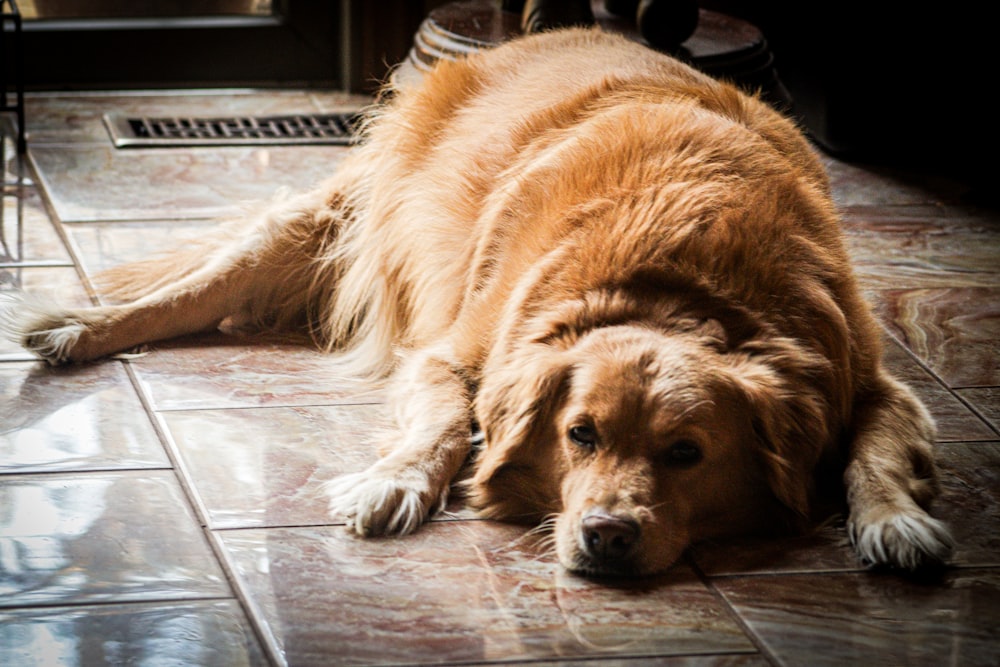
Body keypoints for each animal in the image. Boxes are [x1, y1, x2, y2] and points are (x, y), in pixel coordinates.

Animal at [3, 28, 948, 576]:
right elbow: (447, 421)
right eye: (580, 434)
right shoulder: (453, 354)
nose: (607, 535)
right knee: (196, 286)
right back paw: (80, 325)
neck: (679, 282)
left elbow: (876, 451)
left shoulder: (870, 379)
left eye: (687, 452)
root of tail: (559, 28)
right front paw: (394, 481)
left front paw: (895, 521)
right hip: (341, 218)